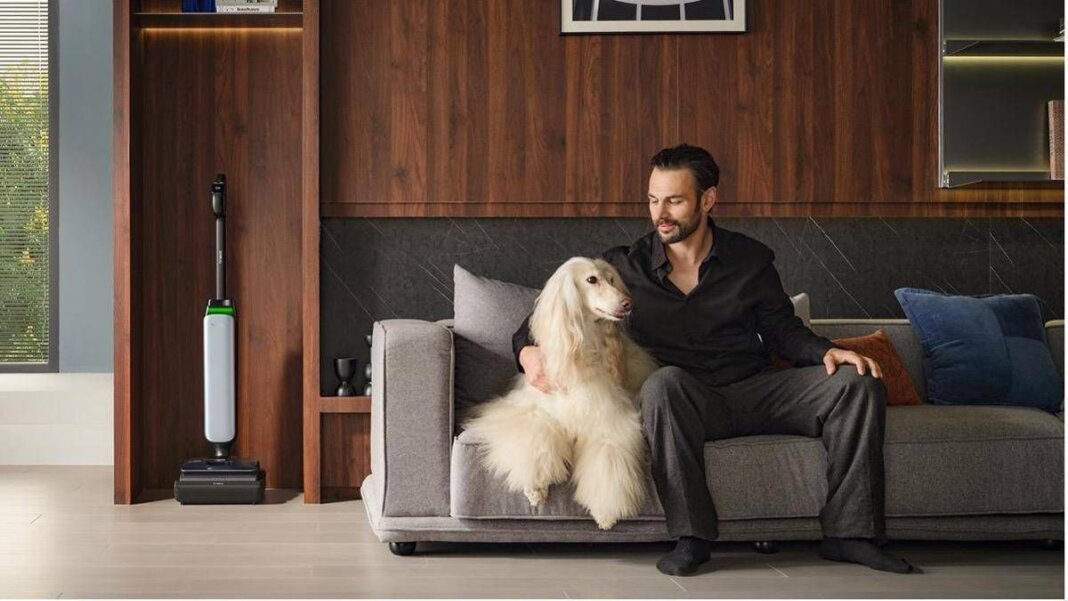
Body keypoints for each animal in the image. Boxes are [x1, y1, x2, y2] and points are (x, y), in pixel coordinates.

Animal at [462, 258, 659, 530]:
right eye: (591, 280)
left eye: (611, 279)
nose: (628, 303)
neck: (581, 352)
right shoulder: (533, 411)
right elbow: (538, 436)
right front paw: (536, 487)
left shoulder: (609, 420)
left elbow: (607, 458)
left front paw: (605, 511)